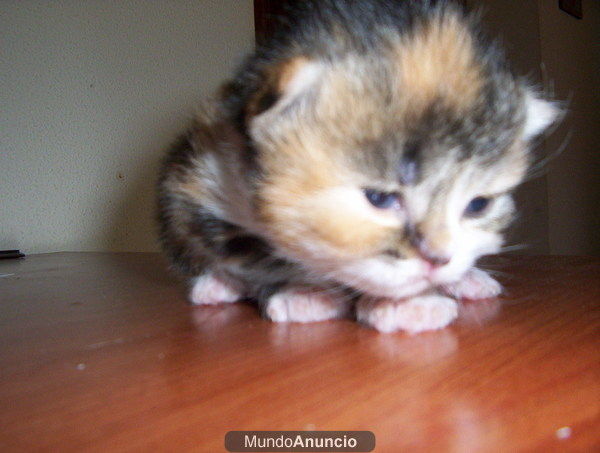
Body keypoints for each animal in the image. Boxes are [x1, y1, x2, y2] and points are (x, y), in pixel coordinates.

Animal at [155, 0, 556, 332]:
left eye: (478, 205)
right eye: (379, 198)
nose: (438, 260)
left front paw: (412, 301)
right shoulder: (207, 180)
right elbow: (267, 254)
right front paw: (306, 292)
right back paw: (217, 284)